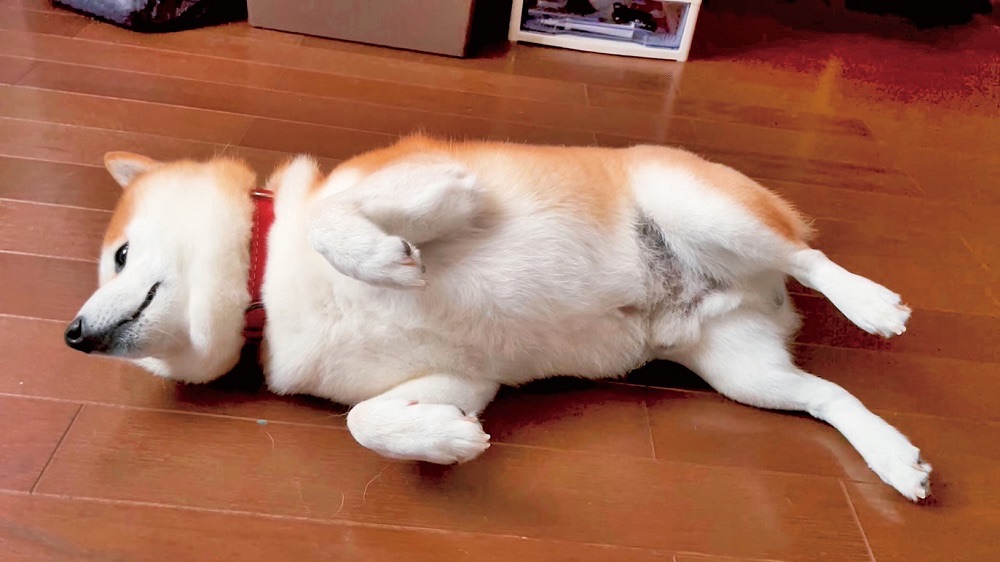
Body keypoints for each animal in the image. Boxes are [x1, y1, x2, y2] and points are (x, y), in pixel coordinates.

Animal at [65, 135, 931, 501]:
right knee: (827, 397)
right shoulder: (456, 376)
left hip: (707, 211)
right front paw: (443, 441)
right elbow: (367, 423)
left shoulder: (442, 182)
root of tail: (753, 289)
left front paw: (382, 260)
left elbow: (333, 223)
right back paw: (893, 458)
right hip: (742, 369)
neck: (265, 288)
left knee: (805, 254)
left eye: (119, 257)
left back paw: (870, 303)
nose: (72, 335)